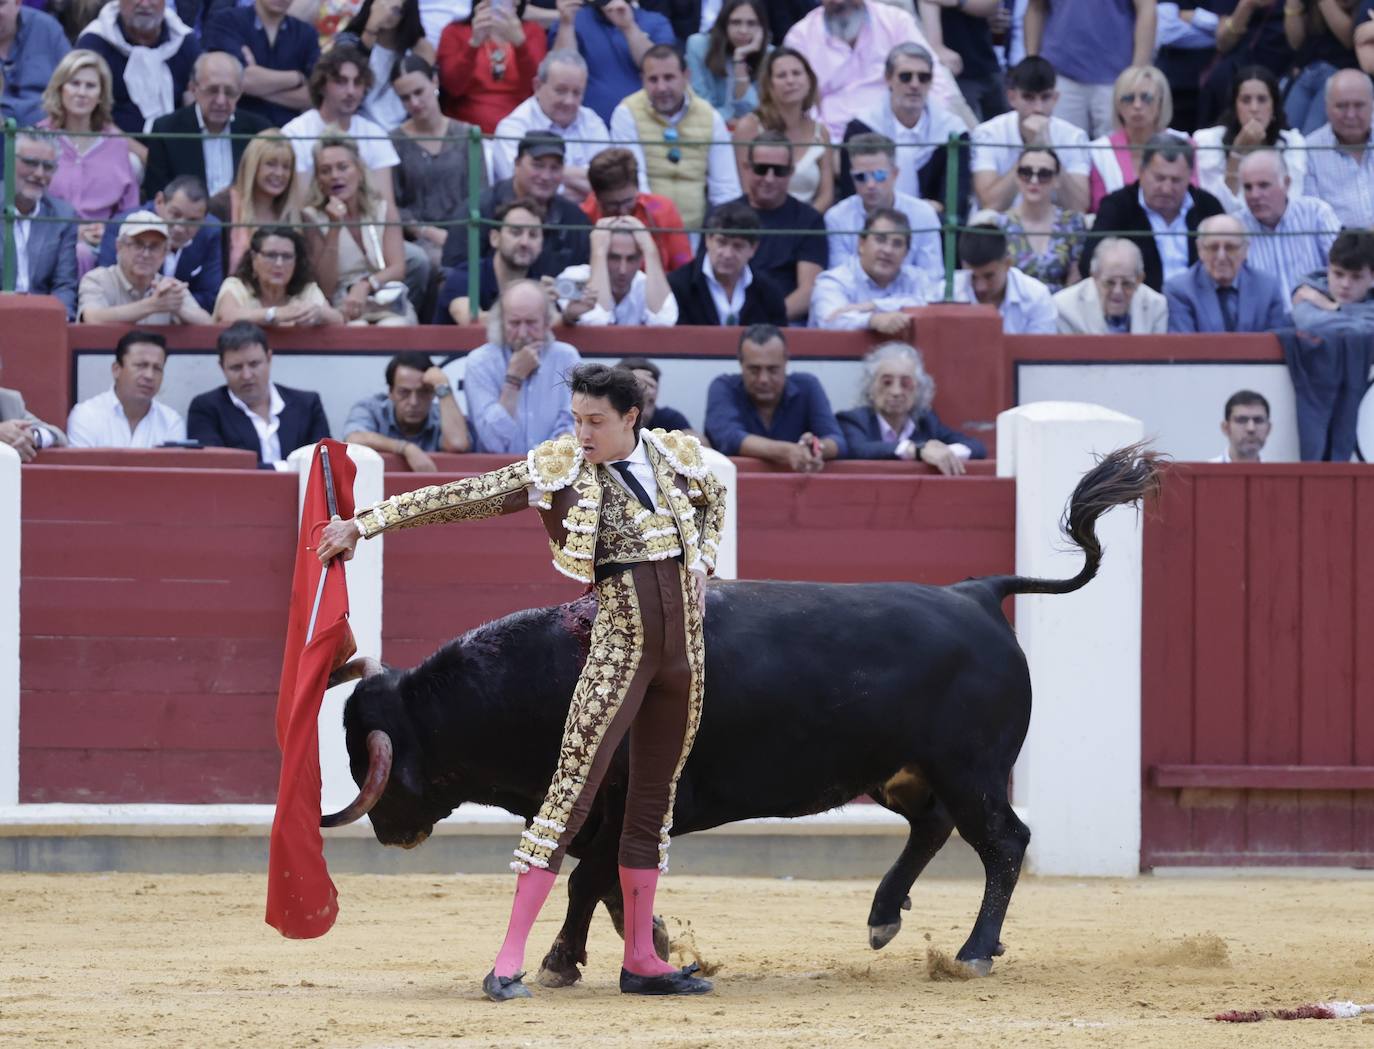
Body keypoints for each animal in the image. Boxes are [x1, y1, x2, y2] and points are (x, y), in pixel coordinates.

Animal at [321, 448, 1159, 984]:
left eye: (375, 757)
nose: (388, 832)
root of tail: (977, 592)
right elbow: (603, 879)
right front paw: (648, 942)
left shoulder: (636, 798)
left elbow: (591, 876)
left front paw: (568, 959)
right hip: (903, 770)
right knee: (933, 826)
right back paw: (884, 916)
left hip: (970, 767)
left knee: (1004, 841)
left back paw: (976, 950)